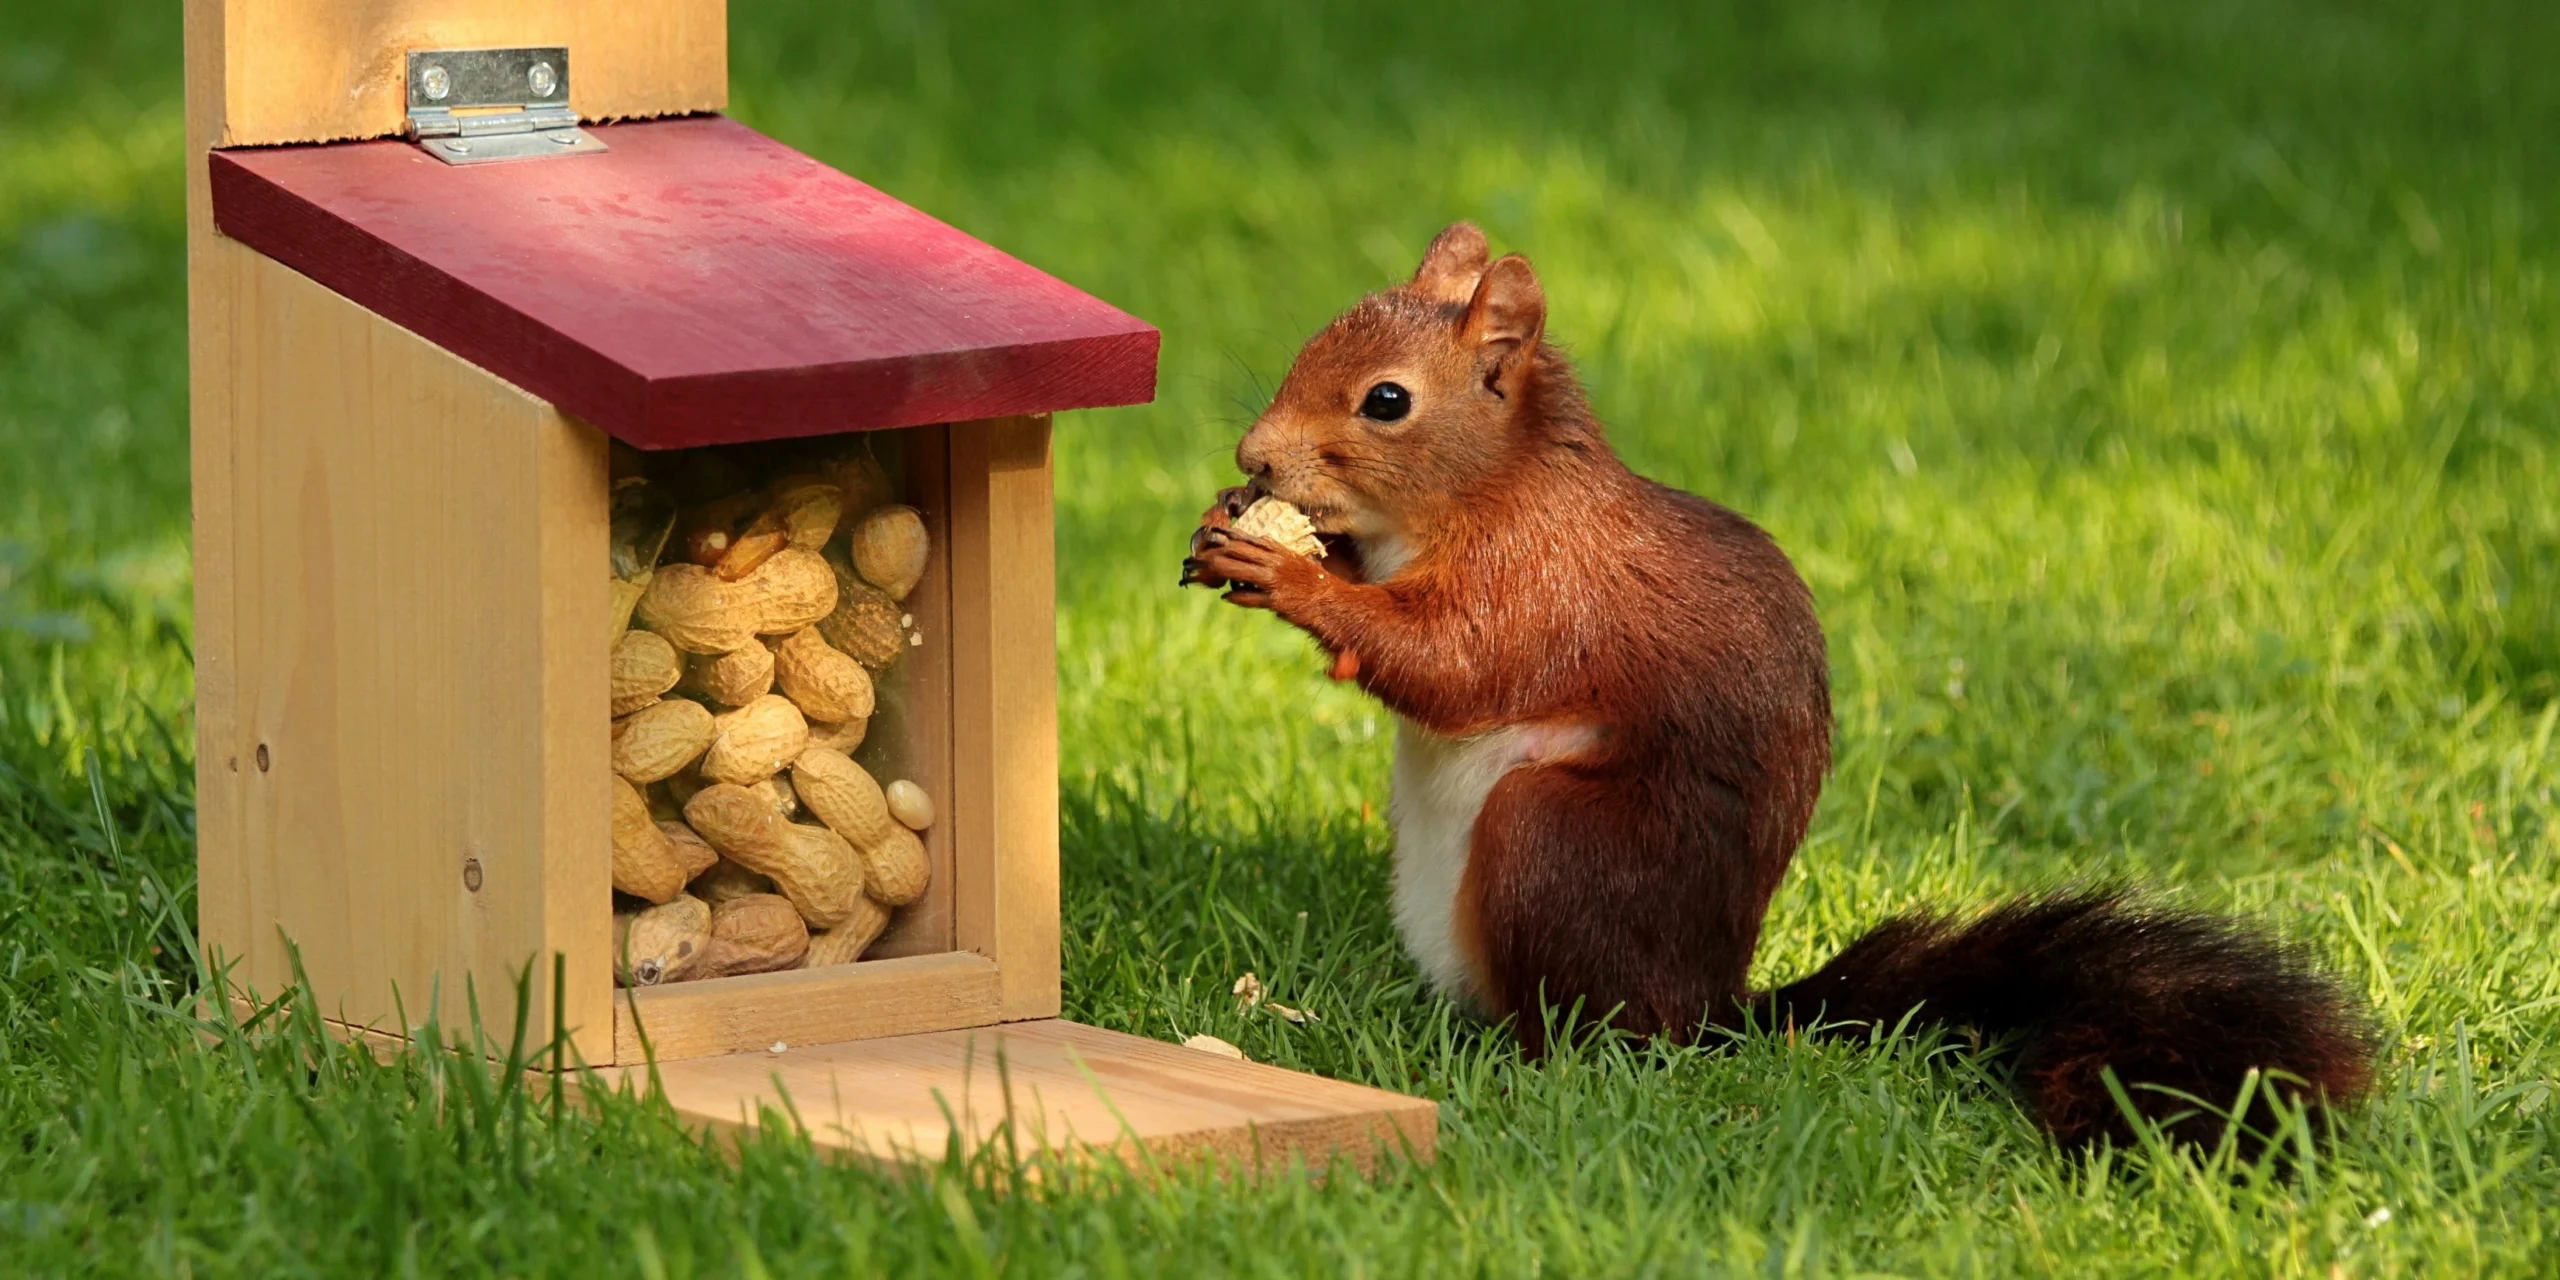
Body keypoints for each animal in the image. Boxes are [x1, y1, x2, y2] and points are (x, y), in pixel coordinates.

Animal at [1183, 223, 2377, 1150]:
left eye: (1387, 401)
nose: (1252, 454)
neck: (1484, 491)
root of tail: (1712, 1008)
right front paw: (1240, 531)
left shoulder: (1545, 584)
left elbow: (1451, 665)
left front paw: (1289, 574)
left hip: (1553, 841)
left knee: (1596, 1033)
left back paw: (1526, 1068)